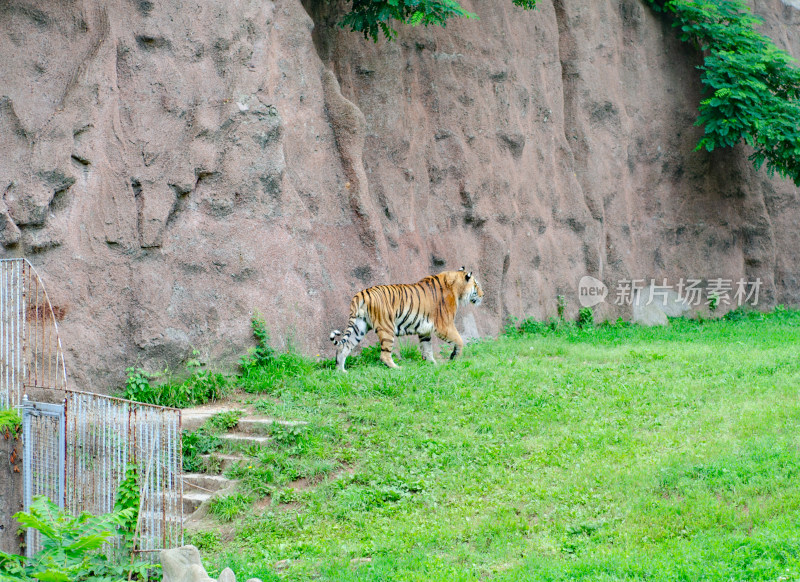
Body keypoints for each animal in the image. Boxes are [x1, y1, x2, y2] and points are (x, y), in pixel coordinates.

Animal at [330, 266, 484, 372]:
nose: (483, 295)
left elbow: (427, 348)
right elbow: (460, 341)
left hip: (359, 326)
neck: (457, 289)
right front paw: (454, 359)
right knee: (384, 355)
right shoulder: (444, 325)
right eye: (476, 285)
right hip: (387, 327)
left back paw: (341, 371)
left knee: (344, 346)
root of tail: (361, 293)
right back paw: (397, 368)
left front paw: (432, 364)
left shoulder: (425, 330)